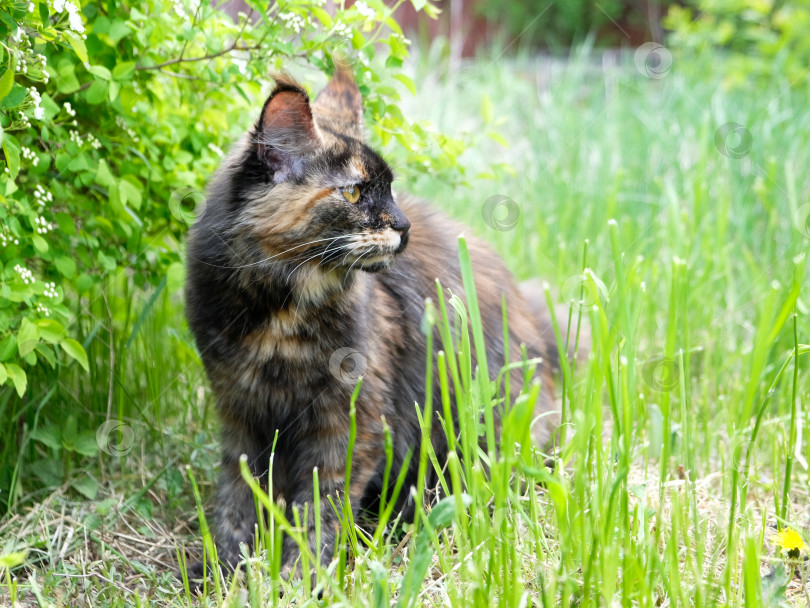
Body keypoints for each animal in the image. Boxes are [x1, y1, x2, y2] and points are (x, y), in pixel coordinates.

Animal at [184, 67, 560, 580]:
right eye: (355, 192)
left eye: (391, 190)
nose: (403, 226)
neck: (281, 317)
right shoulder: (241, 412)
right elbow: (238, 500)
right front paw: (223, 568)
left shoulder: (348, 424)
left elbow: (319, 511)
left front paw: (303, 579)